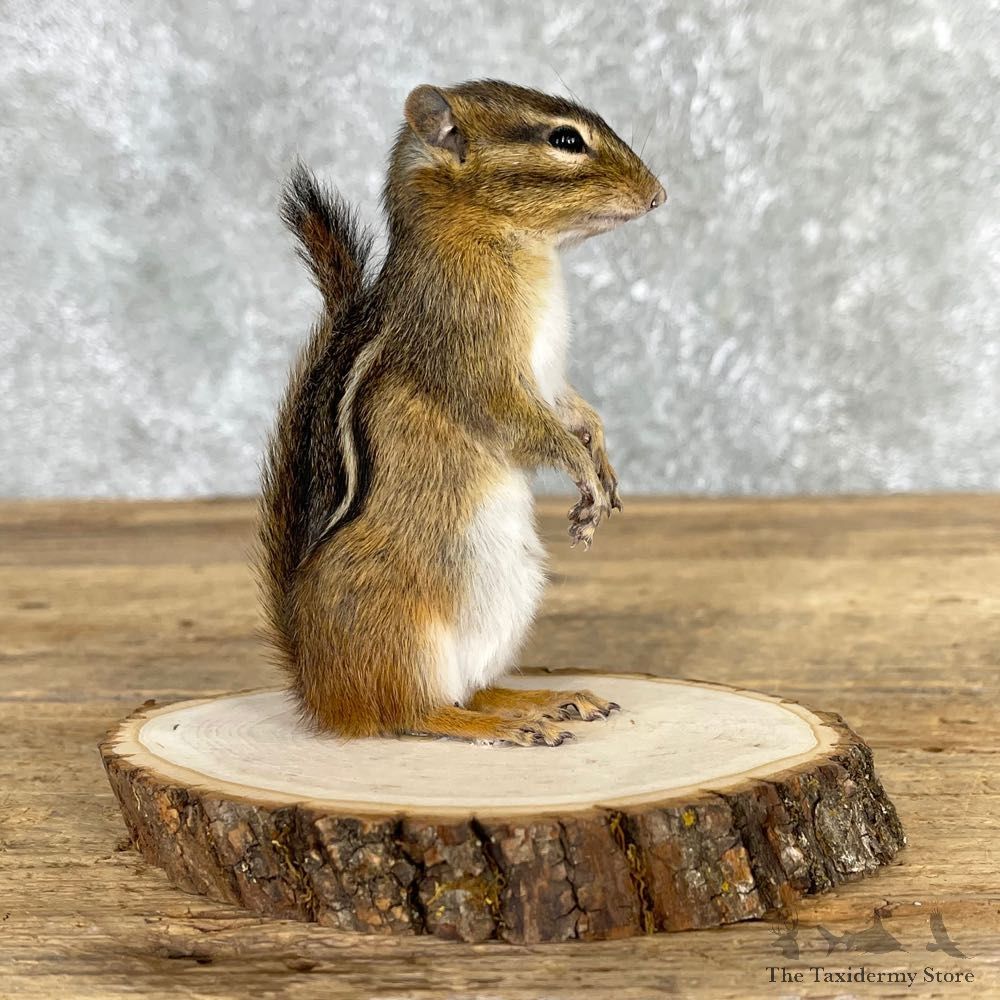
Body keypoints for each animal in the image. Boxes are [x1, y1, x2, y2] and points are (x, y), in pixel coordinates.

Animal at [257, 80, 665, 747]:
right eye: (565, 140)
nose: (659, 194)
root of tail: (317, 687)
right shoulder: (479, 363)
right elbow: (528, 426)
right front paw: (583, 472)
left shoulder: (550, 378)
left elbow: (575, 409)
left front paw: (603, 463)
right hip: (401, 631)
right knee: (412, 712)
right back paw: (510, 725)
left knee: (471, 689)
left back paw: (544, 701)